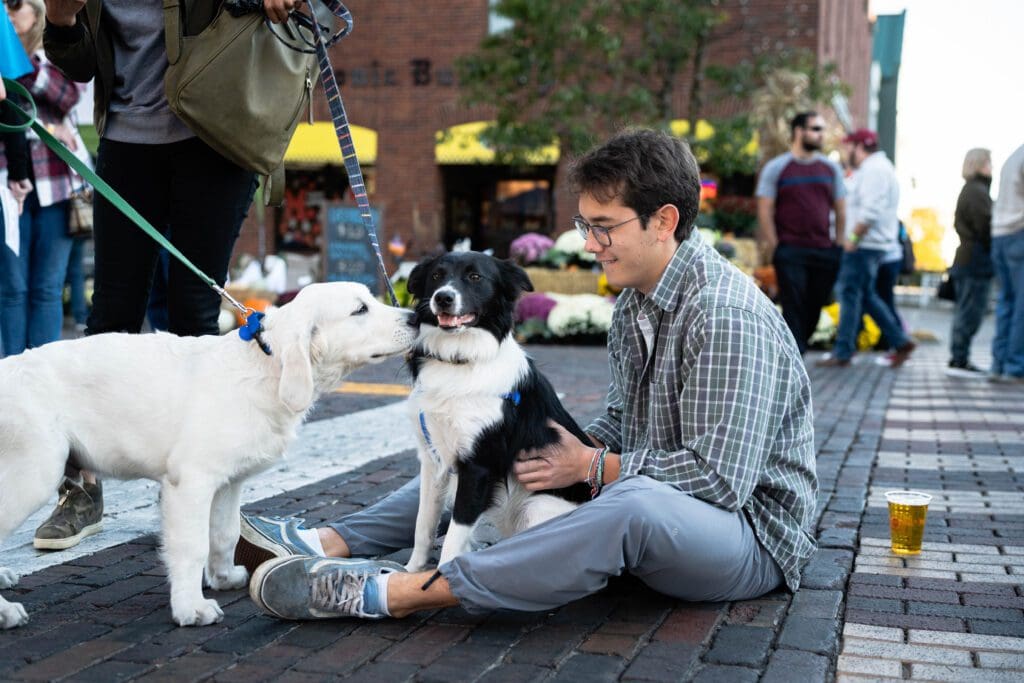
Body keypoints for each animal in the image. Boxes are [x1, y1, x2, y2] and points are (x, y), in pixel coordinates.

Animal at [0, 282, 417, 630]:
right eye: (360, 309)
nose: (416, 316)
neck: (265, 365)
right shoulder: (191, 482)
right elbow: (192, 545)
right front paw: (190, 608)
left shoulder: (229, 482)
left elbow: (224, 534)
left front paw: (223, 577)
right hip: (33, 472)